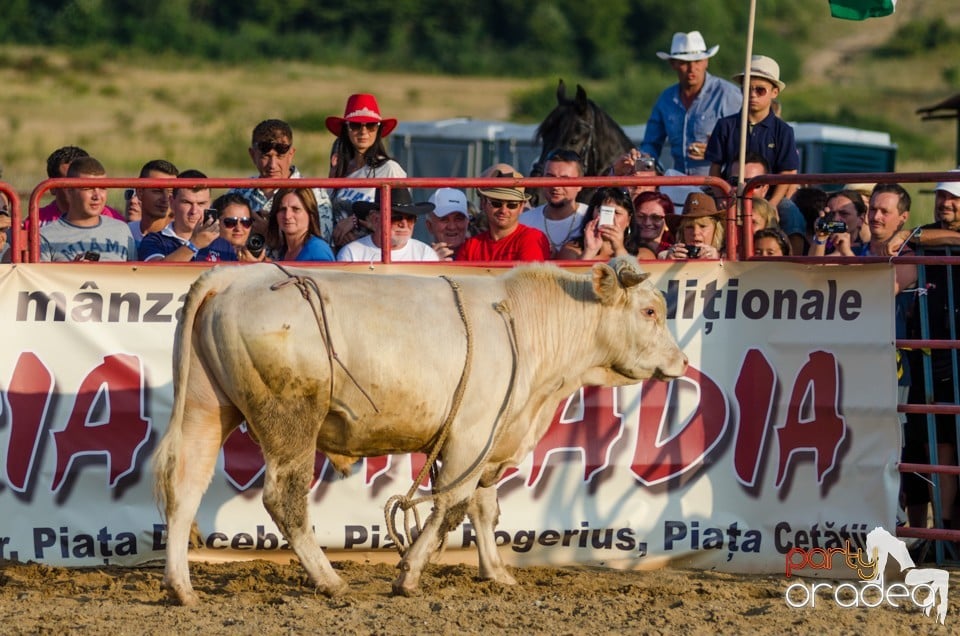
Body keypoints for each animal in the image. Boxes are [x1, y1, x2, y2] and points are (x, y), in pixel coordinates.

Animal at [154, 256, 688, 604]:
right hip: (290, 419)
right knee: (284, 499)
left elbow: (483, 508)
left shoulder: (489, 441)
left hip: (207, 407)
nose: (682, 362)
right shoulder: (471, 438)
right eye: (649, 311)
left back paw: (181, 587)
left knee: (185, 486)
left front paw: (496, 573)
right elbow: (452, 506)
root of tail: (234, 277)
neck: (524, 323)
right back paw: (329, 579)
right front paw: (409, 574)